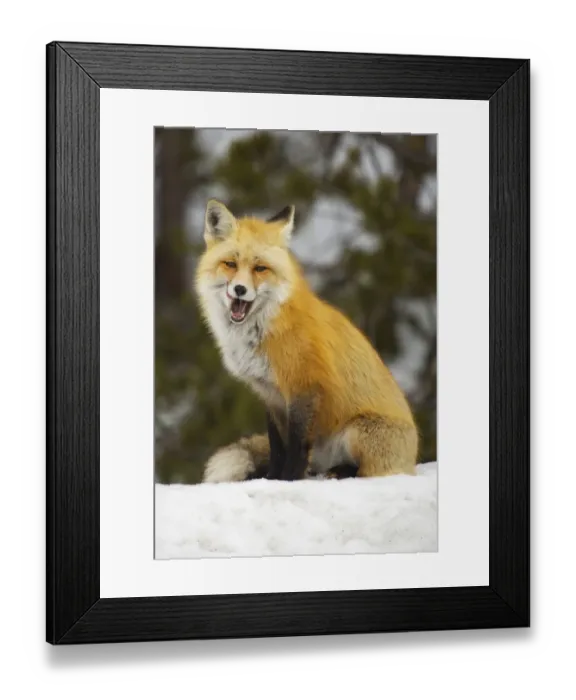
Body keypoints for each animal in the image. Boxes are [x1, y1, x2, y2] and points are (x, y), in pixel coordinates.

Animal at [195, 199, 419, 484]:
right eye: (230, 264)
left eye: (260, 268)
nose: (240, 290)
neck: (266, 329)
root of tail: (413, 457)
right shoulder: (270, 394)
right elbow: (278, 447)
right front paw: (272, 479)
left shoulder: (305, 387)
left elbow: (297, 447)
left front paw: (289, 479)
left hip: (356, 432)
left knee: (369, 471)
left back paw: (342, 472)